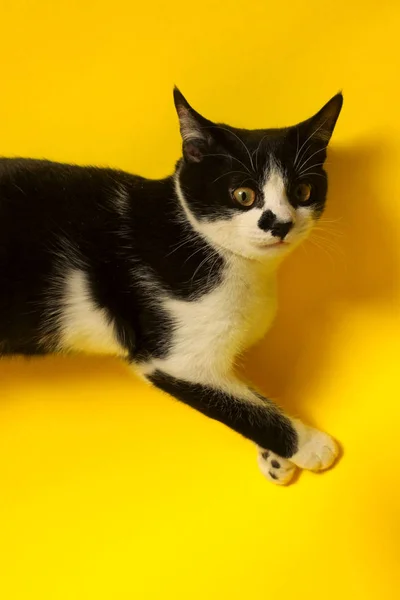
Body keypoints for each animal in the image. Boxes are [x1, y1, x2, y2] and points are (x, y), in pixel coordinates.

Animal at [0, 88, 344, 482]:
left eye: (303, 190)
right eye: (243, 195)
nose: (280, 224)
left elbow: (239, 391)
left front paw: (273, 457)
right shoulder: (172, 360)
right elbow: (238, 407)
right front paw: (310, 445)